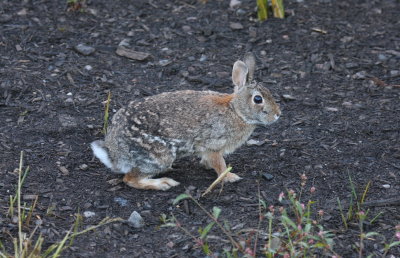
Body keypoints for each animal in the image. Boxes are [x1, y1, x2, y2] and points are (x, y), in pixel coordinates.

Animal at [91, 52, 282, 190]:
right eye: (258, 99)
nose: (278, 114)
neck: (236, 111)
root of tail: (114, 153)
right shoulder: (212, 146)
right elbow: (219, 164)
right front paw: (230, 177)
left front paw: (207, 166)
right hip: (160, 154)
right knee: (130, 179)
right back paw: (164, 183)